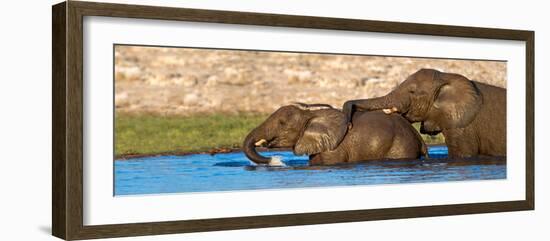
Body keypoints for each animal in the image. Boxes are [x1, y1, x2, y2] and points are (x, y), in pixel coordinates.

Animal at [244, 102, 430, 165]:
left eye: (282, 123)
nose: (275, 160)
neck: (310, 115)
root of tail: (419, 138)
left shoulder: (334, 149)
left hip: (400, 146)